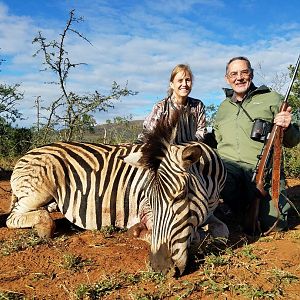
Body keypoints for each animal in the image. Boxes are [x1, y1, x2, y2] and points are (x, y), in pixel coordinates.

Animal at [5, 113, 227, 276]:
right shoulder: (145, 213)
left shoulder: (209, 211)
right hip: (39, 189)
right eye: (148, 199)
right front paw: (141, 232)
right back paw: (43, 225)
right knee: (14, 218)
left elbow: (222, 231)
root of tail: (31, 152)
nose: (160, 268)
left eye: (181, 196)